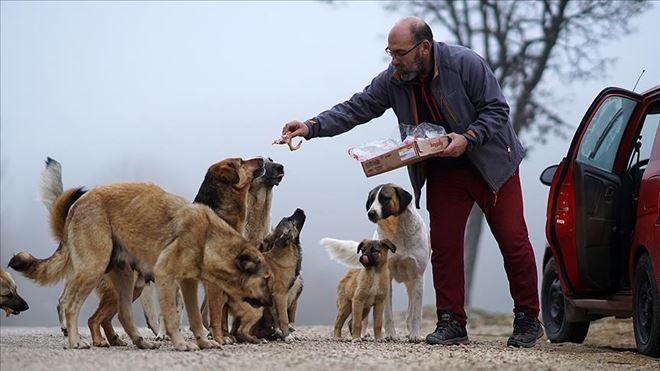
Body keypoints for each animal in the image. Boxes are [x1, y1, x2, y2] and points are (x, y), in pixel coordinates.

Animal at [8, 157, 270, 352]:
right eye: (241, 161)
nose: (265, 159)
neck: (207, 233)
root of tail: (76, 205)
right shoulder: (167, 277)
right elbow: (174, 318)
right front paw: (182, 343)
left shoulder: (188, 283)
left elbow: (195, 318)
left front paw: (204, 342)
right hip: (94, 269)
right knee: (68, 304)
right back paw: (76, 341)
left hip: (127, 280)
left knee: (120, 314)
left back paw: (137, 341)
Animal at [320, 185, 434, 344]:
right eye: (371, 199)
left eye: (385, 198)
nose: (370, 213)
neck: (397, 230)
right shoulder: (386, 279)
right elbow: (387, 314)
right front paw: (390, 334)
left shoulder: (417, 277)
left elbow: (416, 313)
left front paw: (415, 334)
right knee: (362, 316)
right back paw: (362, 333)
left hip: (411, 284)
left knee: (411, 309)